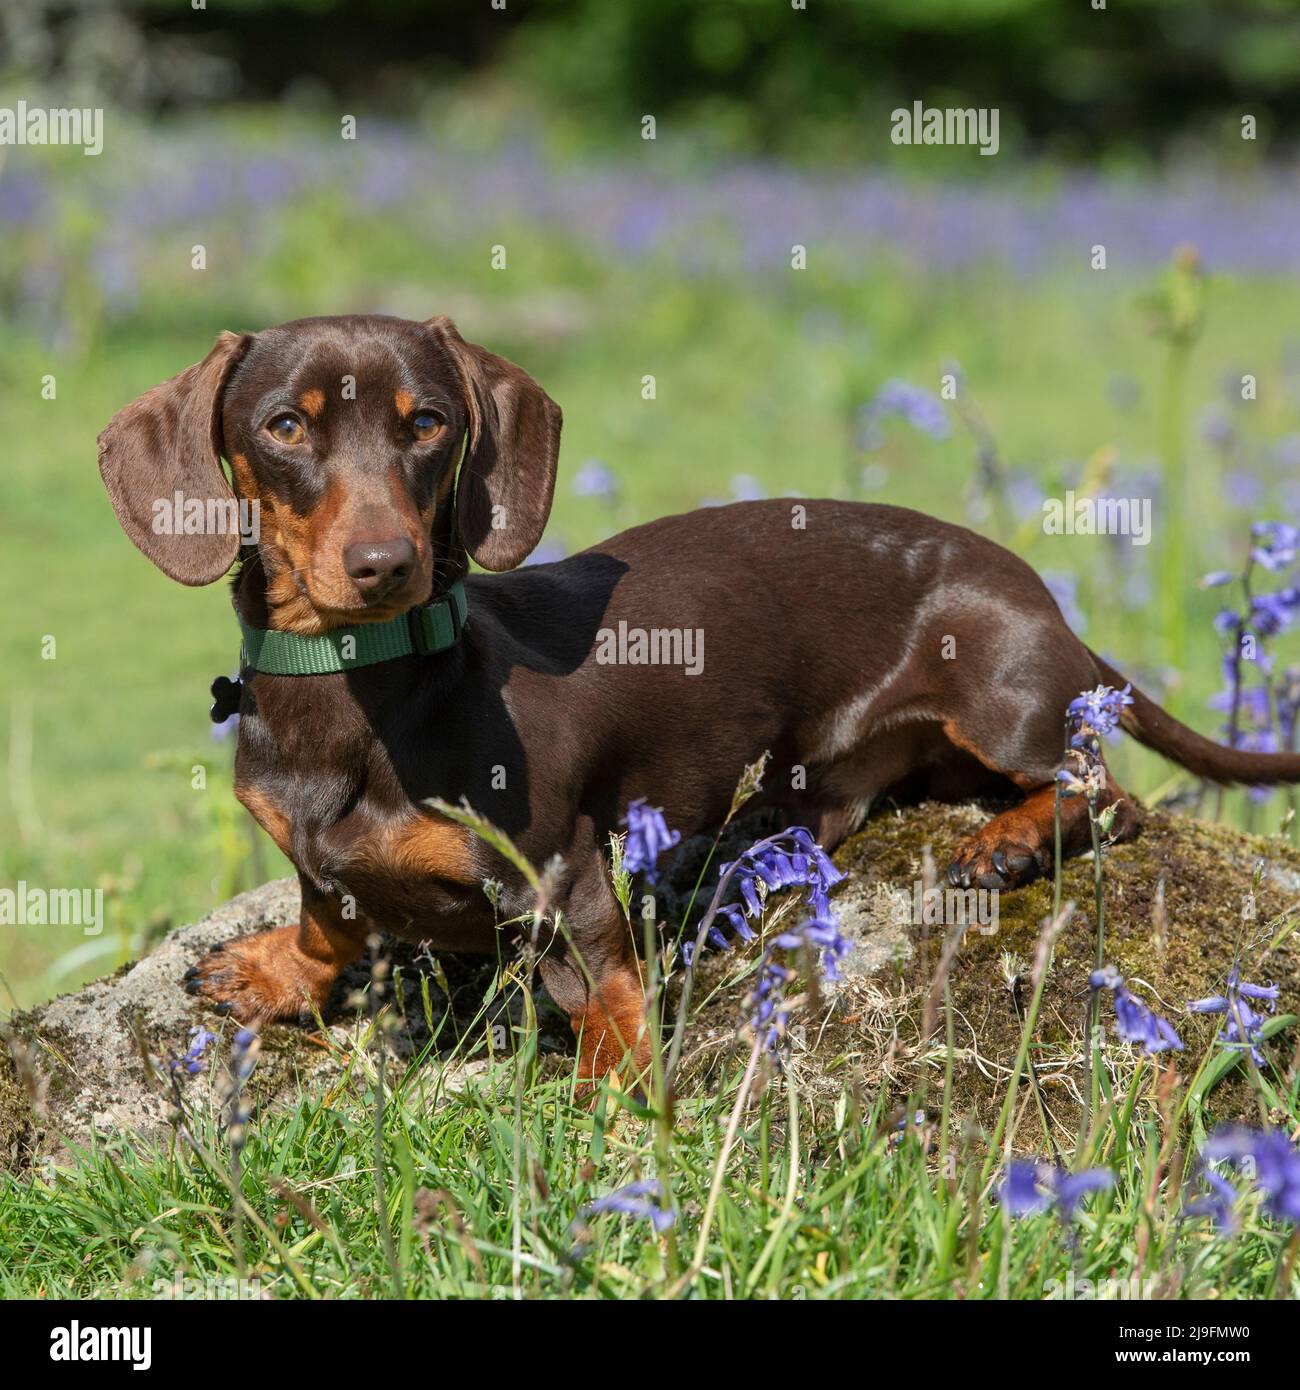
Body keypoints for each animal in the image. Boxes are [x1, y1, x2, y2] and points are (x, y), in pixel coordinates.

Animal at [99, 315, 1300, 1084]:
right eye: (285, 426)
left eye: (428, 420)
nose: (385, 563)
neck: (363, 696)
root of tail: (1049, 607)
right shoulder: (315, 856)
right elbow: (325, 910)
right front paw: (273, 971)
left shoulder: (561, 876)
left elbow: (606, 997)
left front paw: (619, 1095)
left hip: (999, 694)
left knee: (1106, 791)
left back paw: (1005, 842)